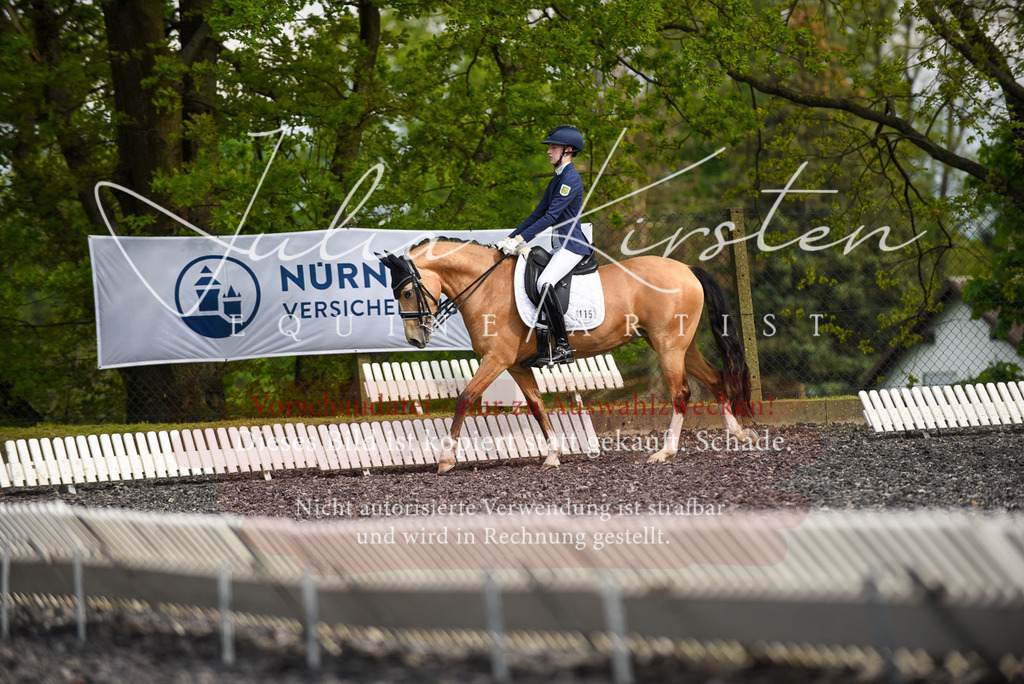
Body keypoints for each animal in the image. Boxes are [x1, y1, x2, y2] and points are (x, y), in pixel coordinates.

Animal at [378, 238, 756, 474]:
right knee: (715, 378)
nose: (414, 339)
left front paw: (445, 459)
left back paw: (666, 451)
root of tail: (687, 269)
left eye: (408, 291)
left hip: (668, 346)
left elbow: (465, 399)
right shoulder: (516, 365)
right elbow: (536, 406)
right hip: (678, 345)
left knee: (682, 392)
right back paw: (738, 433)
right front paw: (553, 455)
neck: (488, 286)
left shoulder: (496, 360)